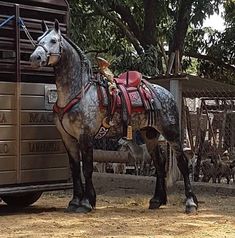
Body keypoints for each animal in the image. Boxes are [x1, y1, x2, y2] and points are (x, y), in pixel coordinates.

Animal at [29, 20, 198, 214]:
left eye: (54, 40)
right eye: (37, 40)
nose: (35, 58)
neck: (78, 92)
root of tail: (164, 93)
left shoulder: (86, 136)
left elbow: (87, 169)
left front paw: (86, 203)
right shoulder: (68, 138)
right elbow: (75, 169)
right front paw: (75, 201)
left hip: (171, 133)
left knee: (182, 163)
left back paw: (190, 203)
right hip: (150, 134)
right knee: (159, 162)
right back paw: (157, 200)